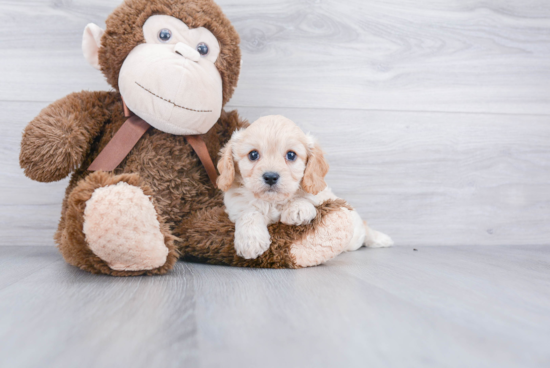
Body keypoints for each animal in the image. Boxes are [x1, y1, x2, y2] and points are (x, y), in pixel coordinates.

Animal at [218, 115, 394, 258]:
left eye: (291, 155)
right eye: (253, 154)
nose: (270, 177)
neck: (272, 202)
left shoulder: (320, 192)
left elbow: (307, 198)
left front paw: (298, 209)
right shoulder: (236, 205)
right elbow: (249, 213)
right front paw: (251, 241)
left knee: (365, 229)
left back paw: (380, 239)